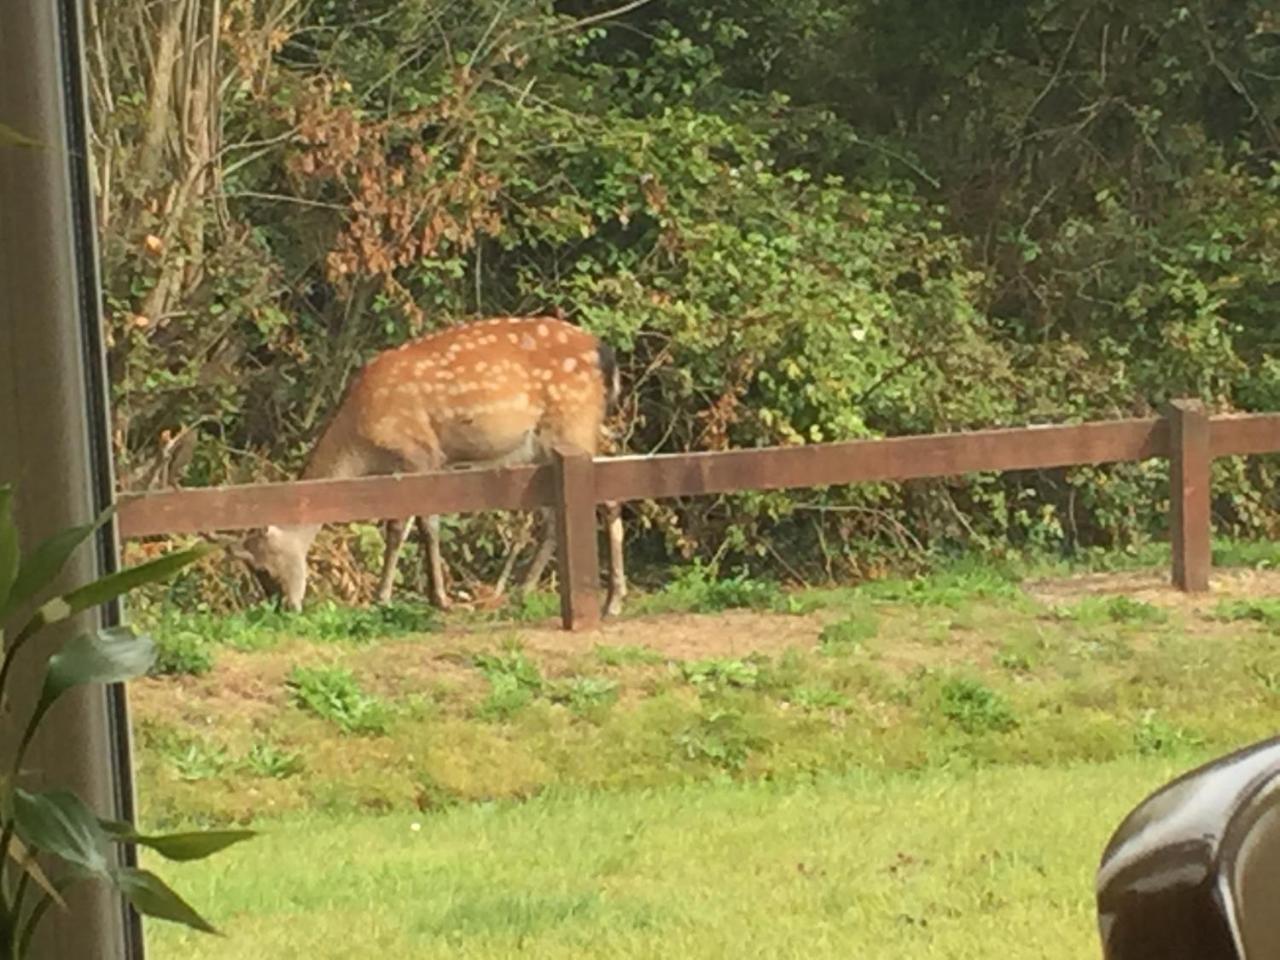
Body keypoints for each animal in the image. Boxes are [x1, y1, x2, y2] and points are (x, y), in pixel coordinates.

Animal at [224, 313, 624, 616]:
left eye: (263, 568)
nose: (285, 608)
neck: (361, 440)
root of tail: (604, 354)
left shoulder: (417, 453)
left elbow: (401, 526)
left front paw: (386, 598)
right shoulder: (435, 461)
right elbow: (430, 524)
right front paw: (437, 597)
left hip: (573, 424)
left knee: (605, 495)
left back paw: (611, 601)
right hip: (546, 446)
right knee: (559, 513)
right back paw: (525, 592)